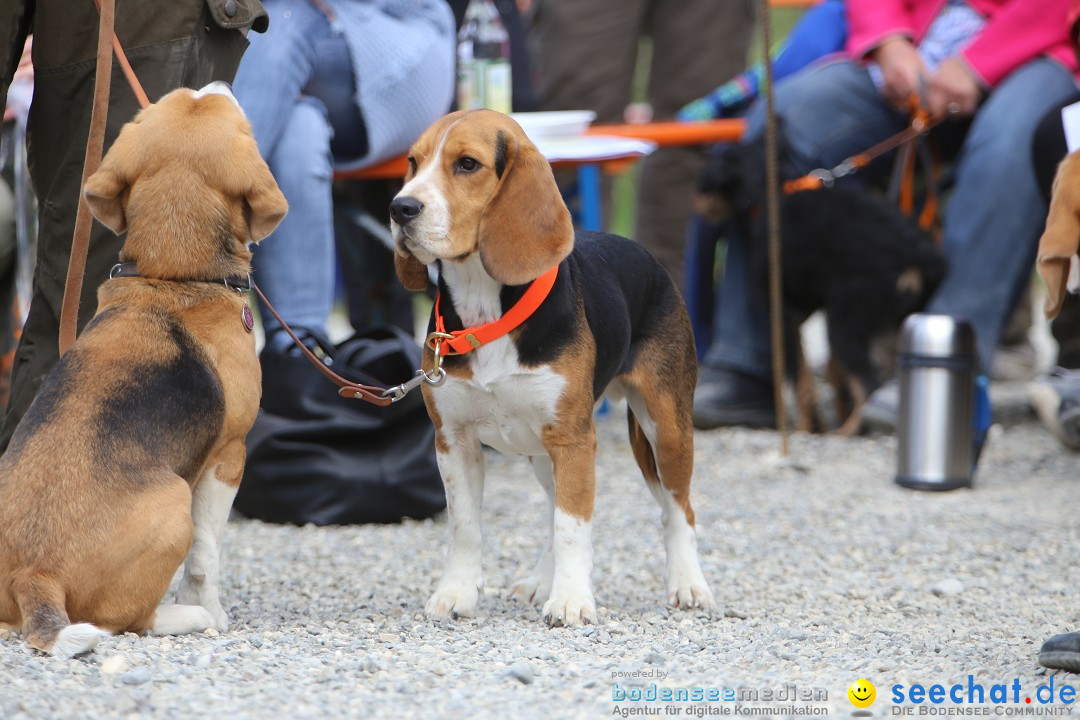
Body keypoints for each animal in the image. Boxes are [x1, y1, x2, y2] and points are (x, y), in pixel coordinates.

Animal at [691, 139, 946, 433]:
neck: (775, 192)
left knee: (869, 384)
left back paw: (849, 431)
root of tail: (921, 256)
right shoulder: (820, 304)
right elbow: (835, 371)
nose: (696, 203)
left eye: (705, 180)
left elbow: (800, 375)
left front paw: (807, 426)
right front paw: (832, 416)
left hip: (846, 321)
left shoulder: (783, 313)